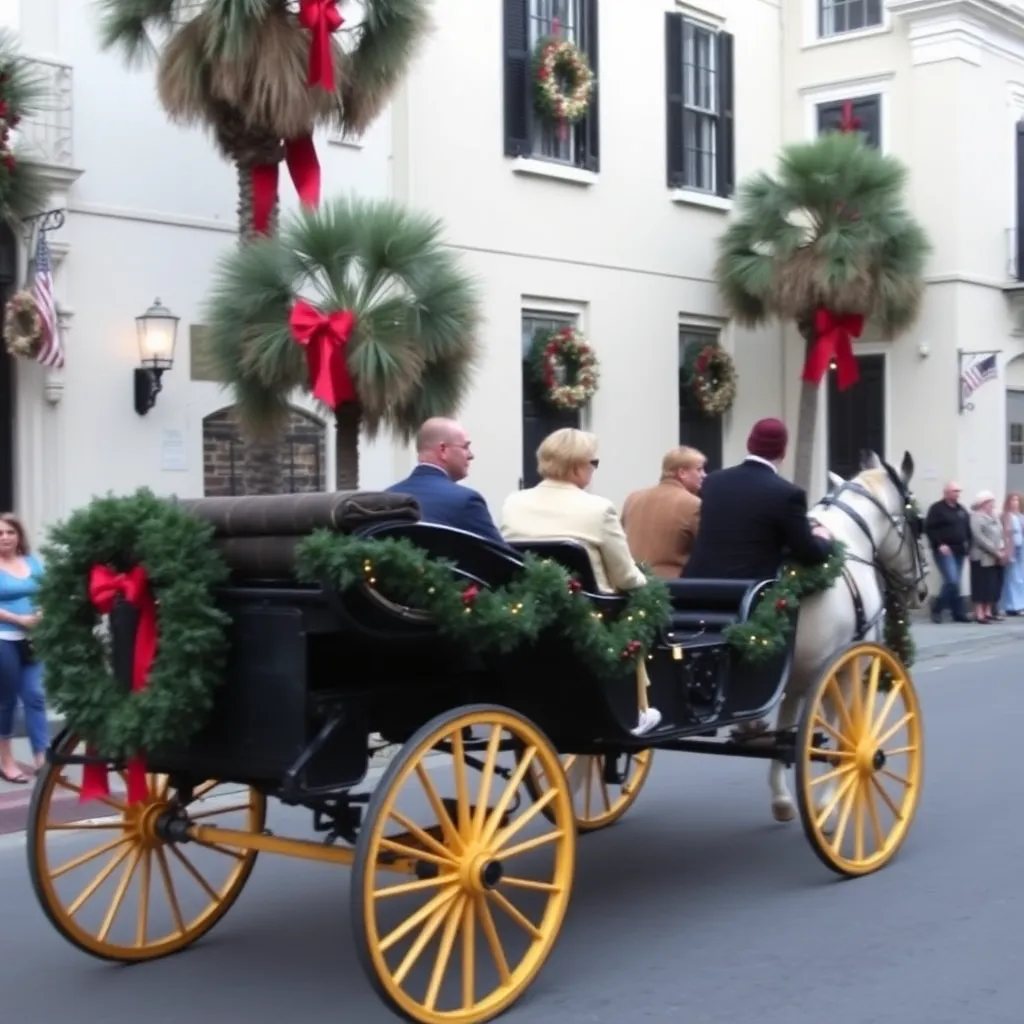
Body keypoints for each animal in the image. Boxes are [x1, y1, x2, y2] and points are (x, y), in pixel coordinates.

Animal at [770, 448, 929, 823]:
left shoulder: (798, 676)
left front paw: (782, 799)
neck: (850, 540)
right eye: (918, 521)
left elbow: (786, 729)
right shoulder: (843, 666)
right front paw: (829, 803)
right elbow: (843, 734)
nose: (921, 592)